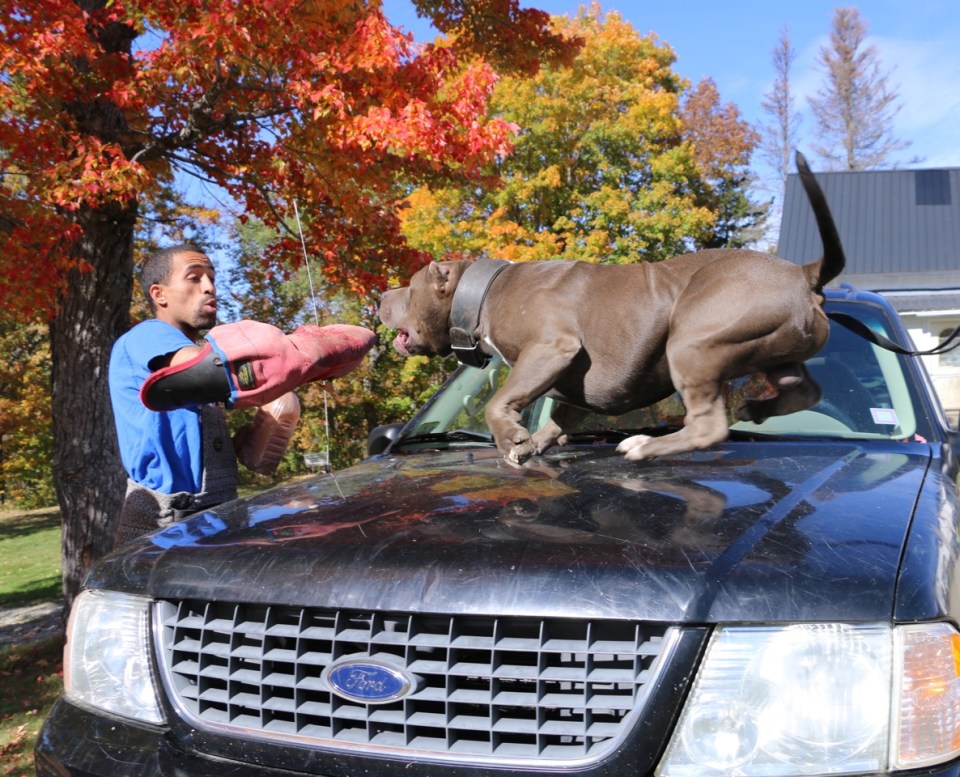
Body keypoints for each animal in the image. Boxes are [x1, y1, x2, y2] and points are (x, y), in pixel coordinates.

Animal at [378, 155, 844, 464]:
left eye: (410, 289)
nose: (380, 297)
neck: (485, 291)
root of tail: (804, 272)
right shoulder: (569, 381)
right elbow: (559, 417)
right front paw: (533, 443)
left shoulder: (551, 348)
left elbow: (500, 401)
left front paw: (512, 439)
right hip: (777, 349)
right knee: (804, 389)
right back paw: (759, 409)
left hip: (691, 342)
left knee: (707, 427)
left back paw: (643, 446)